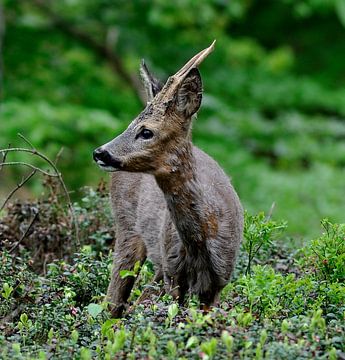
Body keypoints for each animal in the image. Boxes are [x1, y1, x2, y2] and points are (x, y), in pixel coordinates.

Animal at [91, 41, 242, 318]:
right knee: (113, 302)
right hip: (127, 228)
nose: (100, 152)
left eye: (146, 131)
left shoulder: (218, 282)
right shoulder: (173, 276)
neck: (200, 245)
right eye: (130, 124)